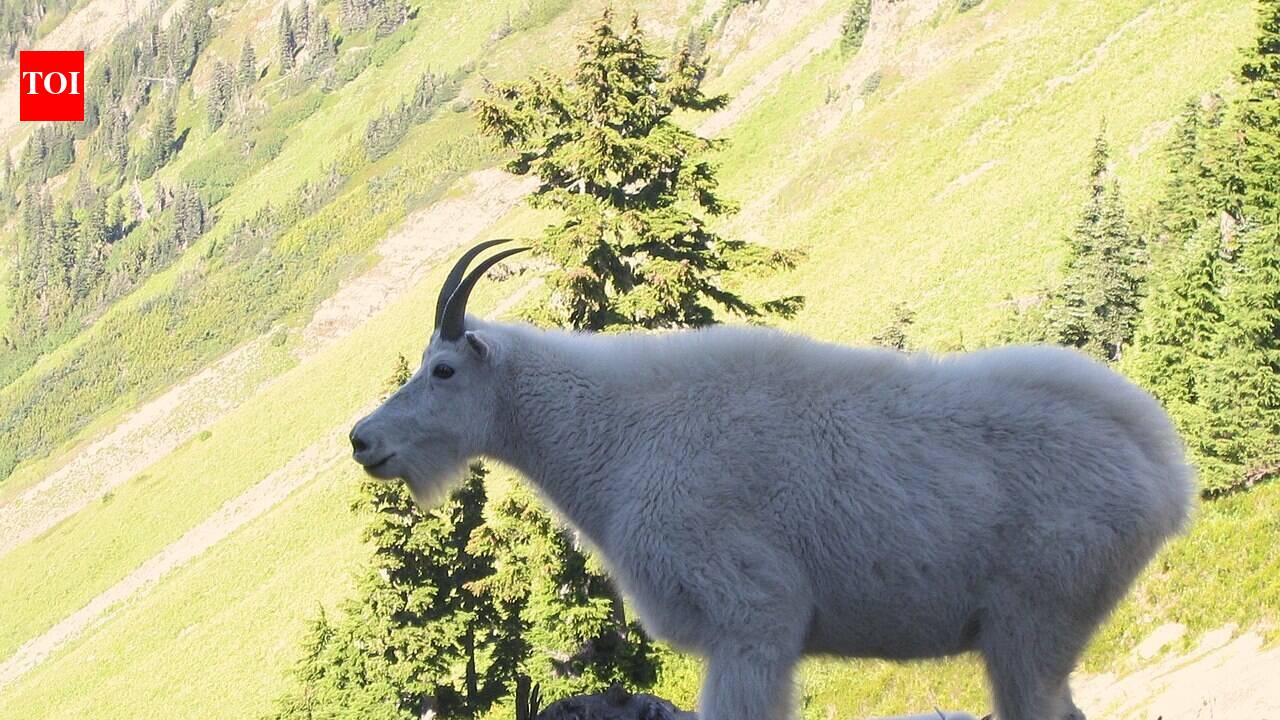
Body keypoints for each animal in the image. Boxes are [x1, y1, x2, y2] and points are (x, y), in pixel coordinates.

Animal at [350, 240, 1193, 720]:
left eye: (443, 369)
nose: (364, 441)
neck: (614, 437)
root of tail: (1165, 469)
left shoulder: (751, 618)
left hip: (1035, 618)